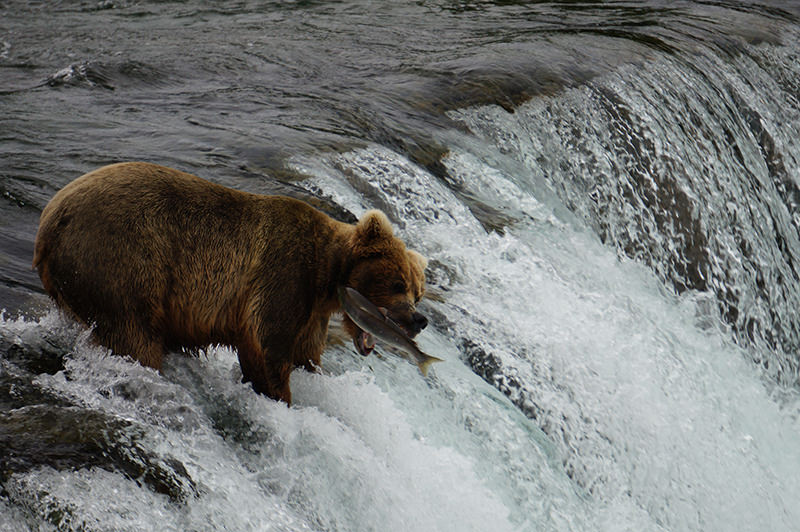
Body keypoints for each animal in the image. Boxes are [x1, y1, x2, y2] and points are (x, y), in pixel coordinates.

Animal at [34, 162, 428, 404]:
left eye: (417, 290)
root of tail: (49, 220)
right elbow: (266, 347)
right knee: (133, 333)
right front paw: (280, 397)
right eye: (397, 283)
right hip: (123, 258)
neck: (327, 277)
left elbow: (306, 356)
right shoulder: (284, 273)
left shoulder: (312, 315)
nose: (418, 320)